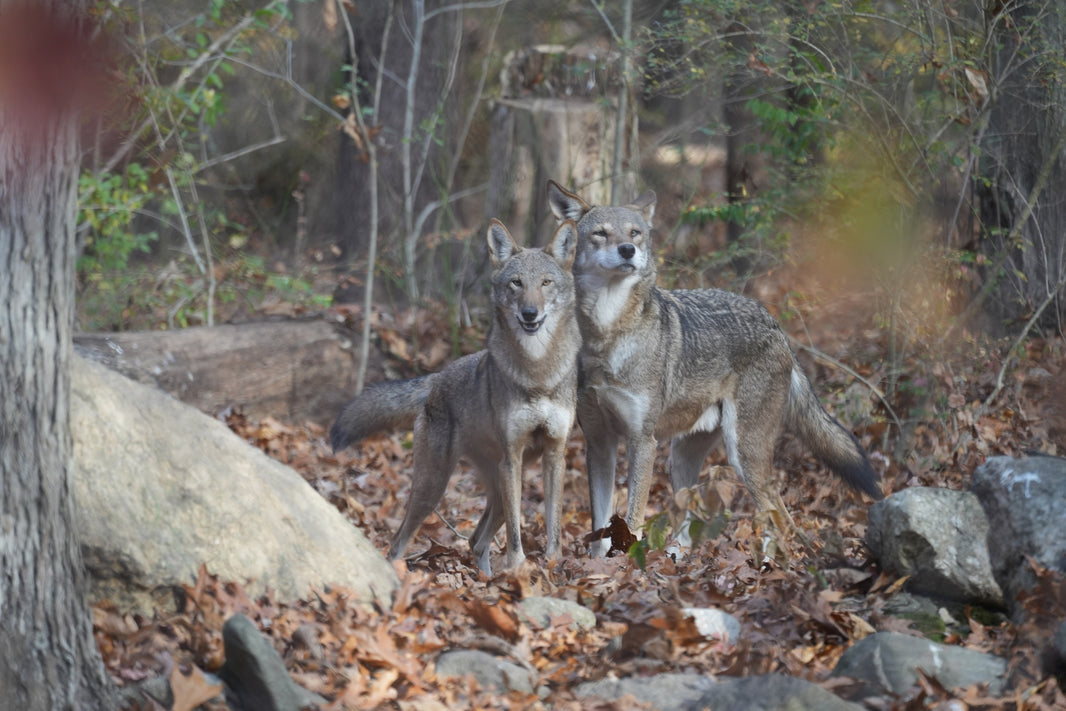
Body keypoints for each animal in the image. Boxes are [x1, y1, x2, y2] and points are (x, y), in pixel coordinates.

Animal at [329, 219, 580, 575]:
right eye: (516, 283)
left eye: (546, 283)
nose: (530, 313)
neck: (538, 374)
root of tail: (436, 378)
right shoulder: (512, 457)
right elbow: (516, 535)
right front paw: (519, 569)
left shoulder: (555, 454)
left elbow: (553, 527)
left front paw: (551, 567)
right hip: (437, 486)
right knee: (399, 540)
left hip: (499, 487)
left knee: (476, 540)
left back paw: (488, 580)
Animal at [546, 180, 882, 553]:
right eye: (601, 234)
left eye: (635, 232)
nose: (628, 250)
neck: (607, 335)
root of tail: (776, 326)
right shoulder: (600, 443)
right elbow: (600, 528)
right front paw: (598, 564)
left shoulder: (642, 442)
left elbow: (631, 523)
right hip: (681, 459)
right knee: (691, 528)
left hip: (743, 456)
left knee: (781, 519)